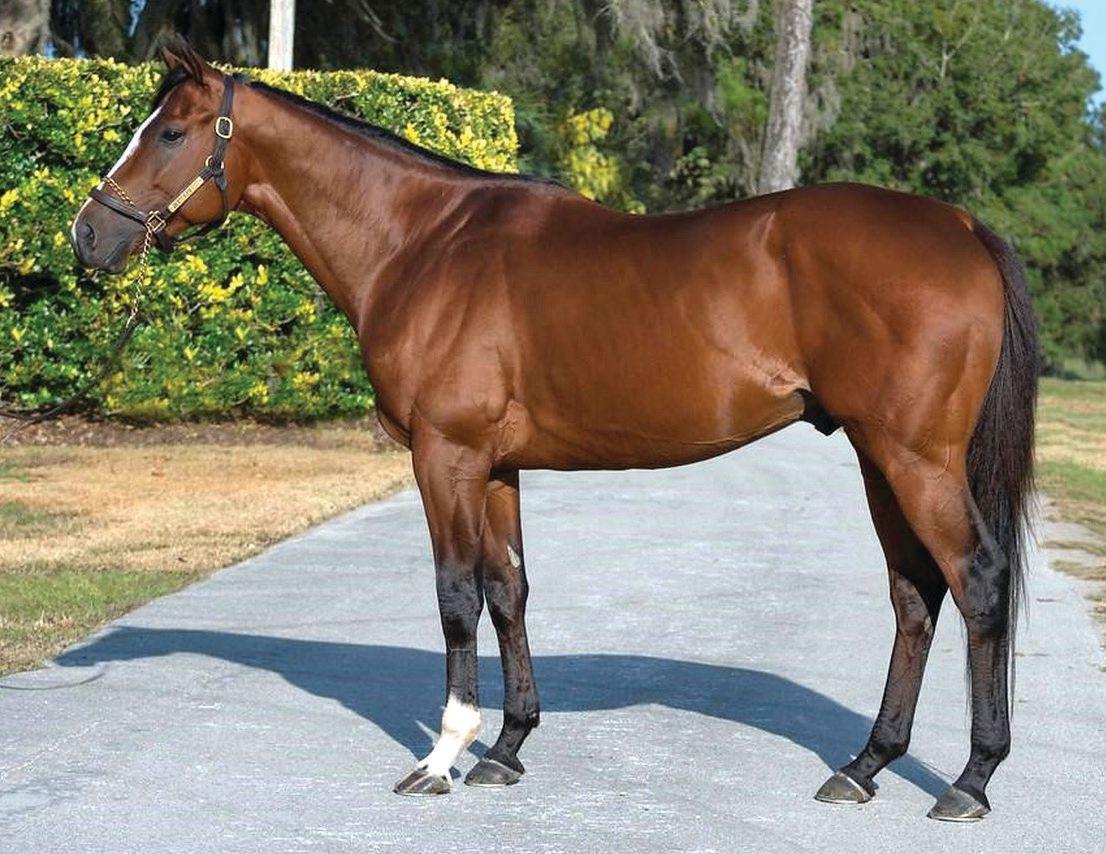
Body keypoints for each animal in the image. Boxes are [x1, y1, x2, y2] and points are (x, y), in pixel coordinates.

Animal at [71, 41, 1037, 822]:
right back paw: (864, 766)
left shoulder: (446, 457)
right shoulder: (495, 467)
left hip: (915, 459)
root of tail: (958, 225)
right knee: (915, 597)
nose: (87, 236)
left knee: (977, 582)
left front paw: (441, 757)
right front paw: (506, 750)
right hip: (880, 459)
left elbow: (456, 596)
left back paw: (970, 781)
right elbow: (509, 592)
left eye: (170, 132)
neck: (421, 242)